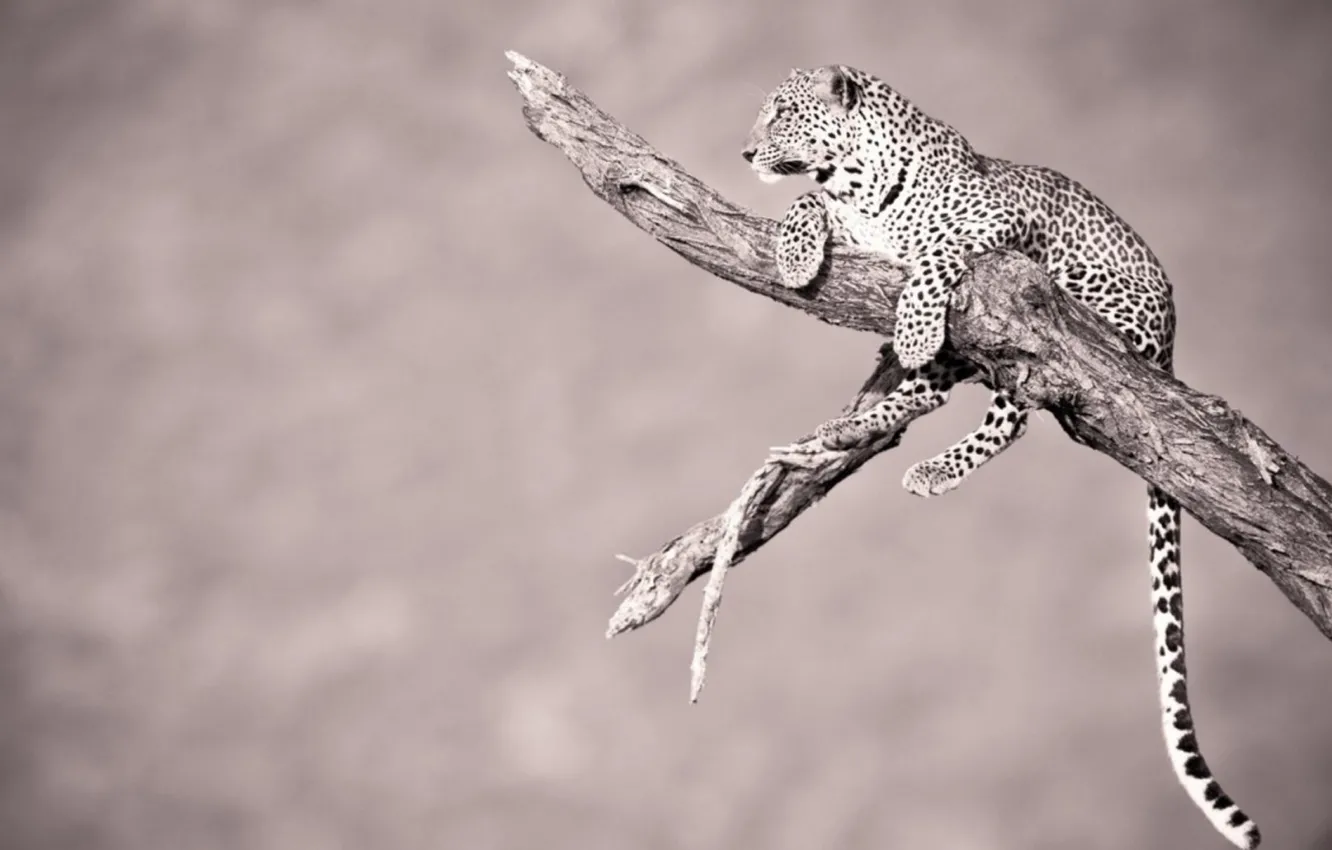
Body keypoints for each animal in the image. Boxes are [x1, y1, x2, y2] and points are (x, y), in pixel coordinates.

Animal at [741, 64, 1259, 849]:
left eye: (784, 114)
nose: (744, 152)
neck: (856, 182)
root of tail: (1170, 342)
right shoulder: (848, 217)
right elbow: (807, 201)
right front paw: (798, 255)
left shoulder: (992, 223)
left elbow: (932, 254)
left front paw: (913, 322)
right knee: (931, 396)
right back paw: (845, 431)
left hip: (1058, 312)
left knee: (1013, 410)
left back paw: (927, 456)